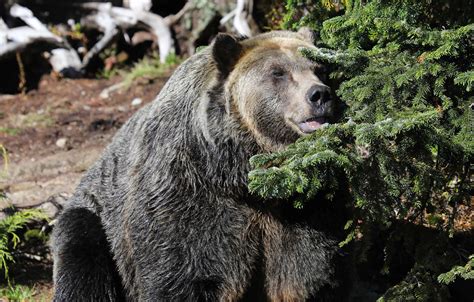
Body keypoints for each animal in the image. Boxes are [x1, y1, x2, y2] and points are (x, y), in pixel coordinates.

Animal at [52, 27, 348, 300]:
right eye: (278, 73)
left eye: (320, 68)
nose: (319, 95)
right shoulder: (187, 193)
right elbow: (183, 274)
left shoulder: (305, 207)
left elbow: (306, 274)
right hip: (96, 217)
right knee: (81, 256)